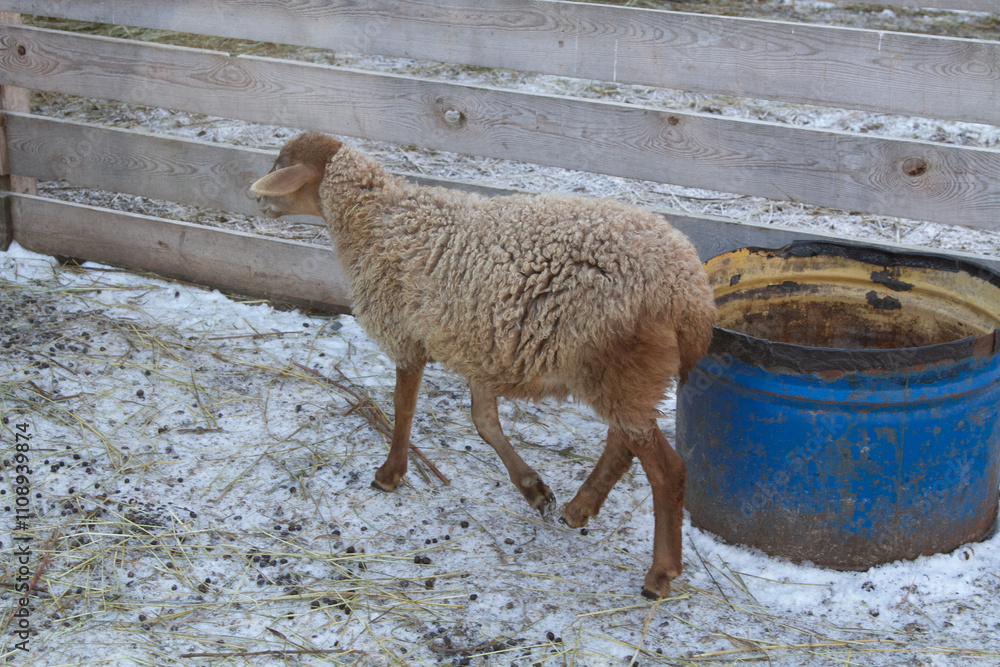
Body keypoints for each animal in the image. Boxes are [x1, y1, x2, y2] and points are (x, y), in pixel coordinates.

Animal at [250, 132, 715, 598]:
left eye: (282, 163)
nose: (255, 200)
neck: (379, 219)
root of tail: (689, 292)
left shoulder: (408, 335)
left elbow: (404, 408)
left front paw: (390, 474)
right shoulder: (482, 345)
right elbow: (484, 422)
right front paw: (534, 489)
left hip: (620, 367)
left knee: (667, 469)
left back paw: (659, 574)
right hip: (623, 377)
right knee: (623, 444)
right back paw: (579, 508)